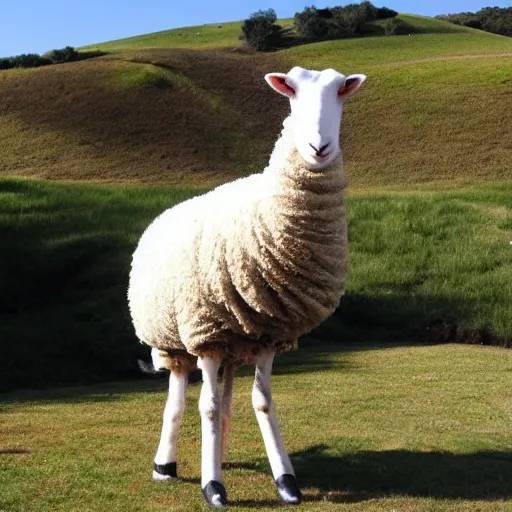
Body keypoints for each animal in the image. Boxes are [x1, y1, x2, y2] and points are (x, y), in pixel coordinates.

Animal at [130, 67, 366, 508]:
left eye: (341, 90)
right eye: (291, 90)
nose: (319, 146)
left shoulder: (268, 335)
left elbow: (262, 403)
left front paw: (286, 481)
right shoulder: (206, 332)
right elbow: (203, 407)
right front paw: (213, 487)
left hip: (233, 344)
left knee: (224, 404)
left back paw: (218, 455)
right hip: (177, 339)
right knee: (178, 401)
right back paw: (165, 466)